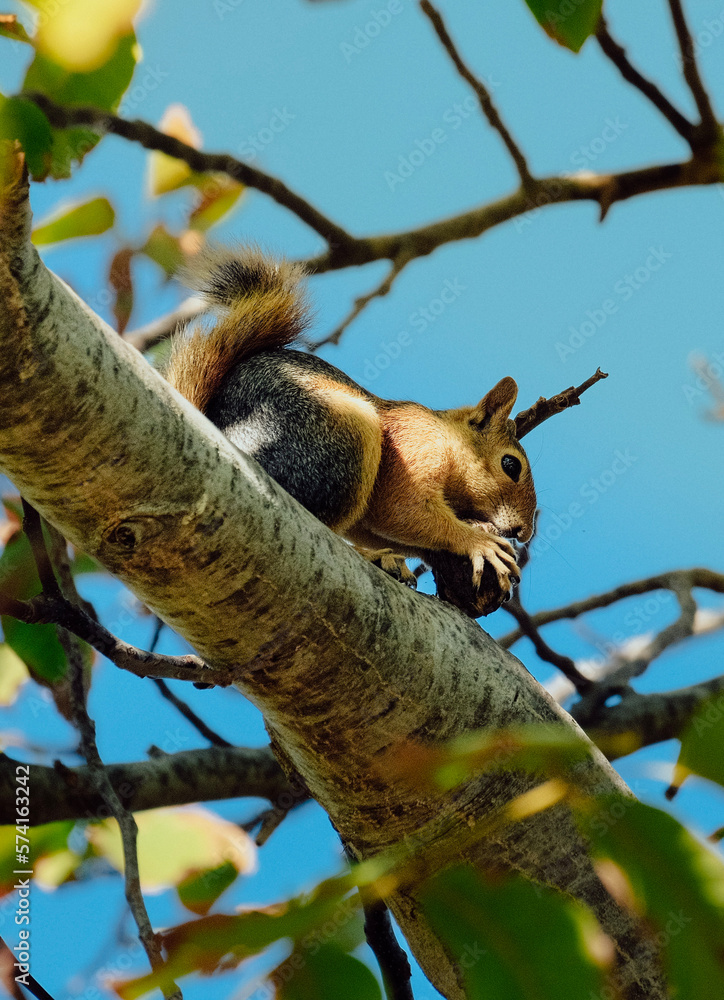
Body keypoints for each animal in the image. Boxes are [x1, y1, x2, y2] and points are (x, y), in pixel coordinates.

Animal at [165, 245, 537, 600]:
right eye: (510, 465)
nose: (525, 532)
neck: (445, 435)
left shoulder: (371, 520)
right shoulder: (414, 448)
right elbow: (404, 509)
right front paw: (477, 542)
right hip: (340, 441)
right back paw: (370, 557)